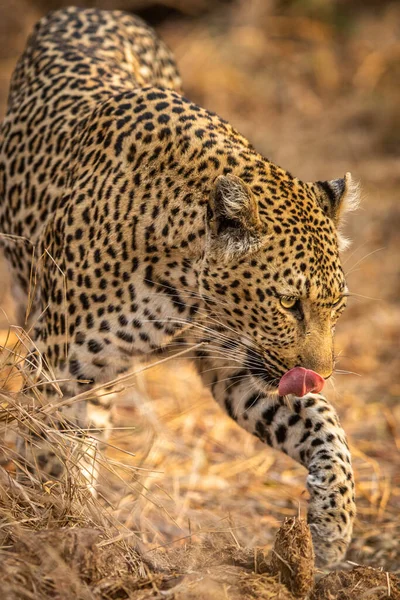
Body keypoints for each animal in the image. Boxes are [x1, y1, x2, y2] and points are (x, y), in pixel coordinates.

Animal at [0, 7, 358, 564]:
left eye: (336, 307)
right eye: (287, 303)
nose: (320, 375)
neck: (183, 288)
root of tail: (99, 8)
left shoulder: (238, 366)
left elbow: (324, 425)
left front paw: (331, 528)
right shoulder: (55, 367)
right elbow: (48, 457)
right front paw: (64, 535)